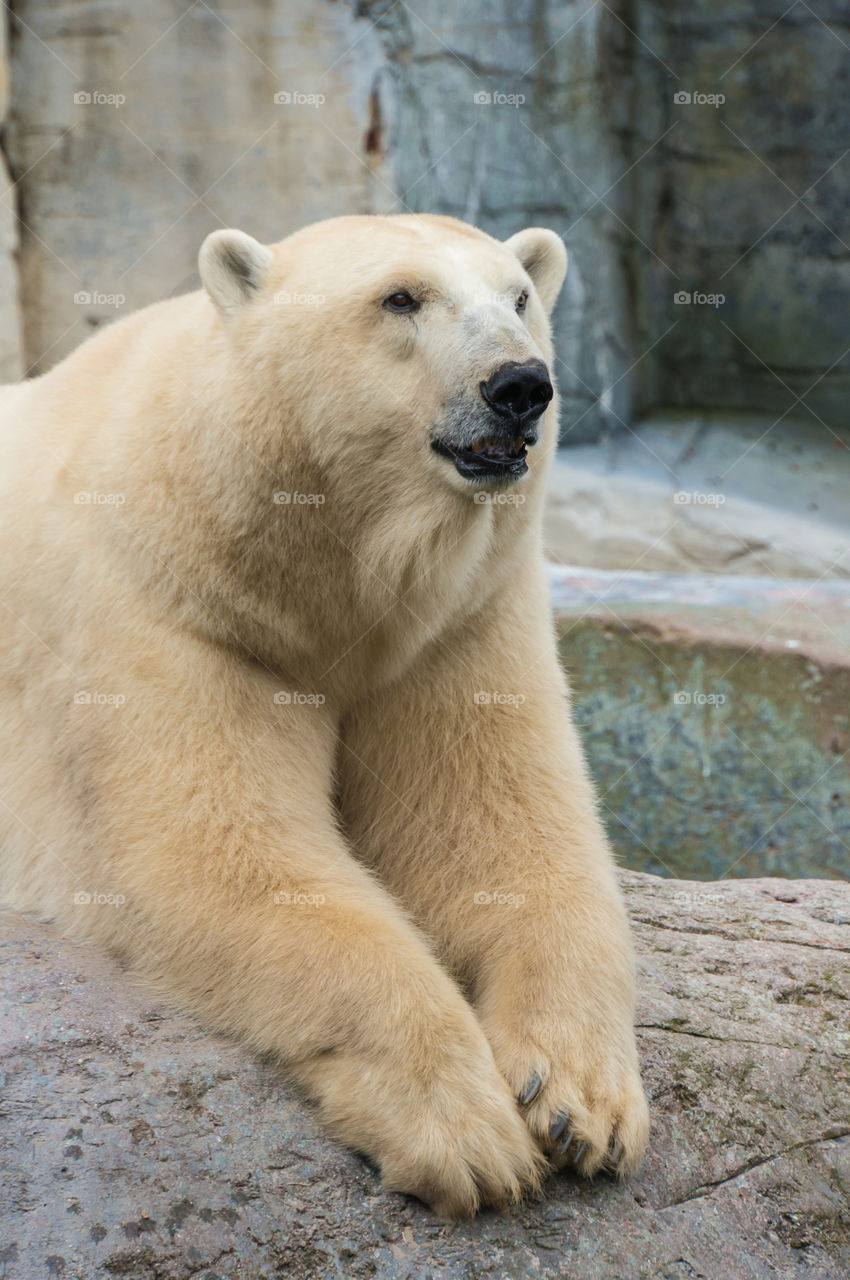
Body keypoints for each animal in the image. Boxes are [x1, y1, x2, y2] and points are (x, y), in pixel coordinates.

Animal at [0, 215, 647, 1213]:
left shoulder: (461, 620)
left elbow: (502, 834)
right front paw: (464, 1132)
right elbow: (219, 856)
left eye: (519, 297)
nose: (518, 386)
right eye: (400, 297)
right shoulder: (171, 606)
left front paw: (581, 1100)